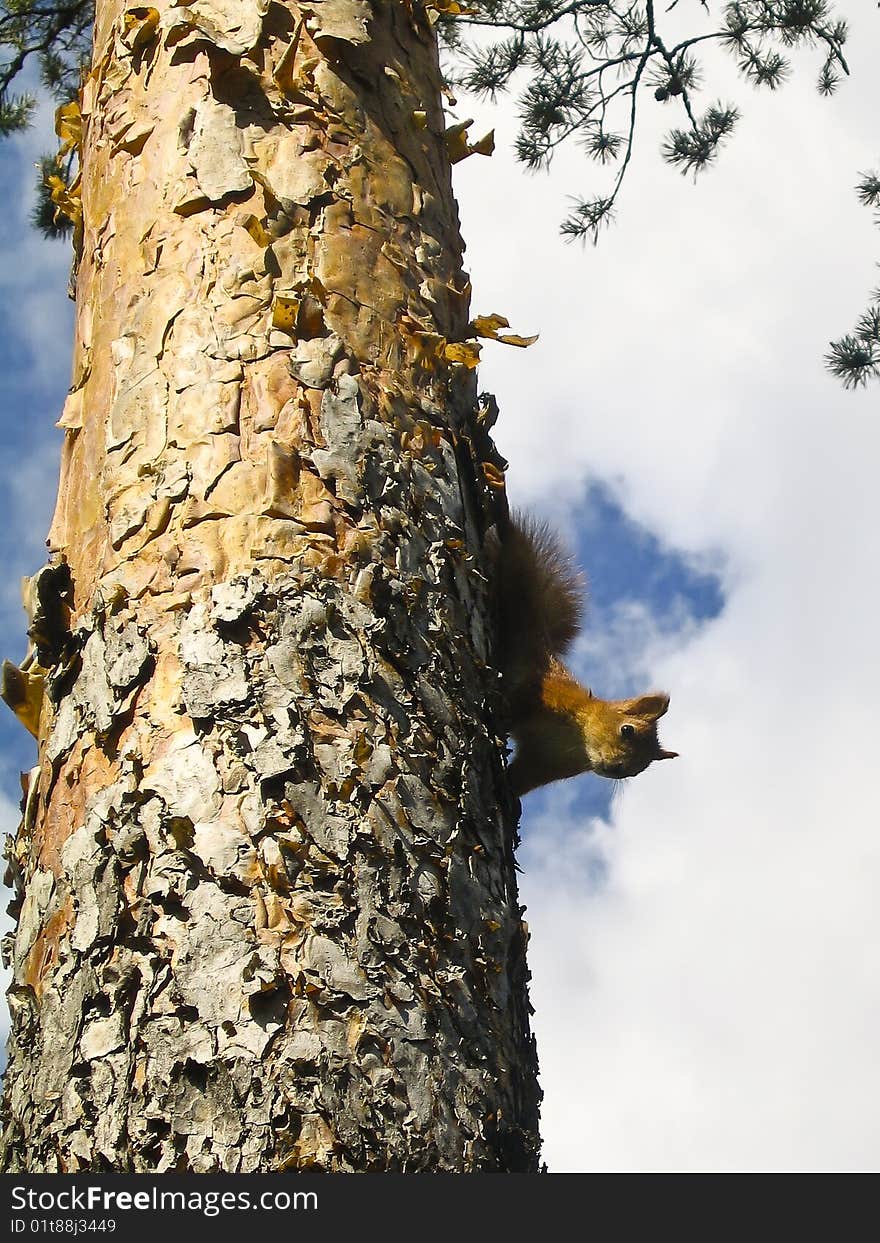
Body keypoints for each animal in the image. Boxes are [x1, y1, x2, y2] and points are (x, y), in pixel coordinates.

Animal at [492, 512, 676, 795]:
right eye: (627, 730)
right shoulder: (547, 694)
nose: (618, 768)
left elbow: (521, 779)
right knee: (515, 544)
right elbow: (518, 702)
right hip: (519, 580)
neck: (575, 741)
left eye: (641, 768)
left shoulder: (544, 764)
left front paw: (509, 793)